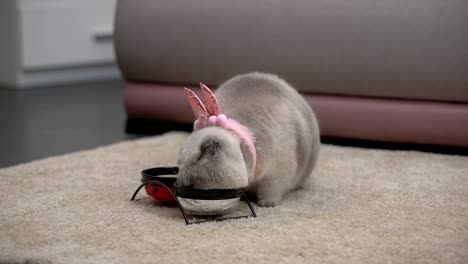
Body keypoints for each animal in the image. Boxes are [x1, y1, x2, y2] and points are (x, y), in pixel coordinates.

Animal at [177, 72, 320, 206]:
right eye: (179, 165)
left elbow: (270, 190)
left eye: (199, 157)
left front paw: (267, 204)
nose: (182, 183)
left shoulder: (277, 173)